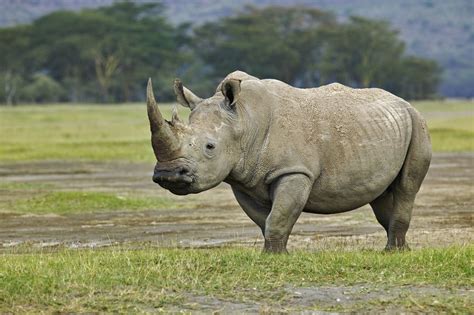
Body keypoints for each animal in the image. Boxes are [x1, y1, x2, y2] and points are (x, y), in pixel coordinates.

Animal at [146, 71, 432, 254]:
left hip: (417, 123)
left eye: (209, 147)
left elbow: (279, 215)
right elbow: (265, 219)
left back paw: (393, 252)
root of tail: (403, 102)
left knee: (406, 187)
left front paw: (273, 256)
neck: (245, 120)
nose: (167, 174)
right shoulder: (242, 180)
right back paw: (401, 249)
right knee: (381, 193)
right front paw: (275, 253)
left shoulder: (294, 171)